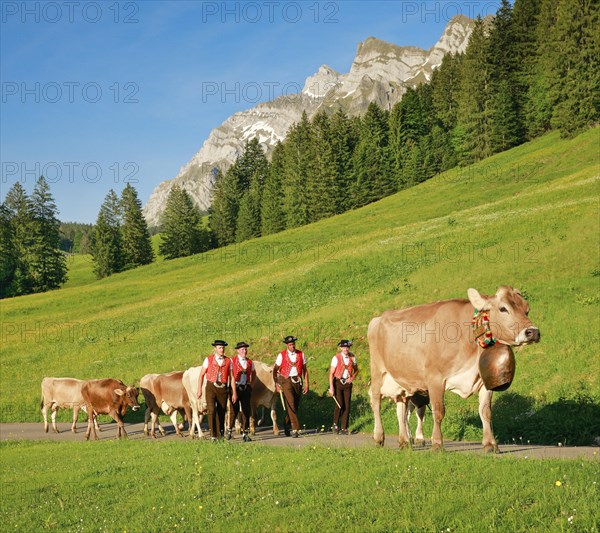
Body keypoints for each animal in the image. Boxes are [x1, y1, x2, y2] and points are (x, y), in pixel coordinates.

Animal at [368, 284, 540, 450]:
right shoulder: (434, 379)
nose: (533, 332)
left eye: (527, 309)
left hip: (400, 379)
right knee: (376, 400)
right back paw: (379, 437)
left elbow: (486, 412)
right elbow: (438, 411)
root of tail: (378, 318)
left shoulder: (484, 380)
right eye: (503, 308)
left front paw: (490, 444)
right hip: (378, 372)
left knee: (401, 407)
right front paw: (437, 444)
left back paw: (404, 441)